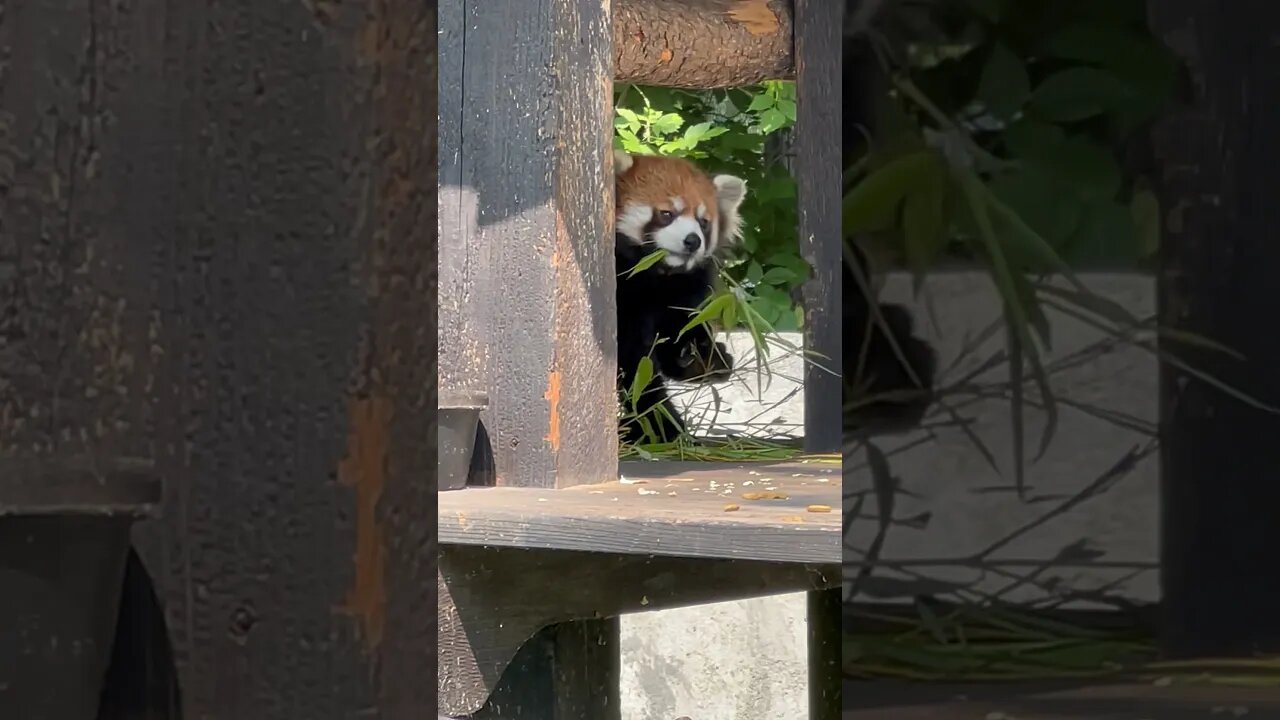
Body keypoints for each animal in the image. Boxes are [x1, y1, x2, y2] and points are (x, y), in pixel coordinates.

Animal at [613, 149, 746, 445]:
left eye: (704, 222)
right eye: (667, 214)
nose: (692, 241)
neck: (656, 276)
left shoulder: (682, 291)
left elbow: (679, 330)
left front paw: (700, 358)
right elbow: (635, 368)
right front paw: (661, 425)